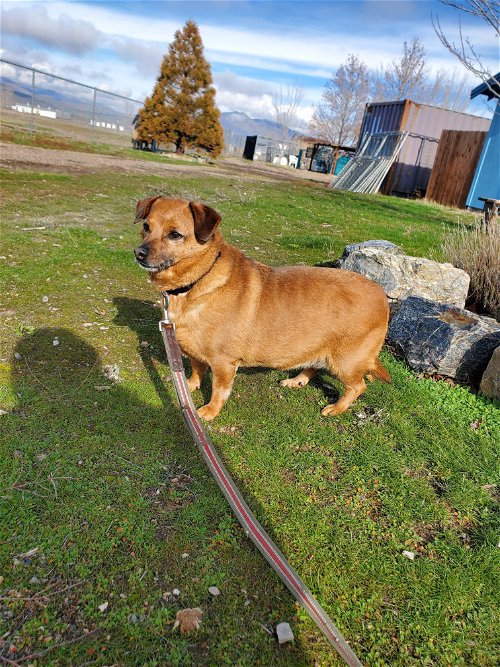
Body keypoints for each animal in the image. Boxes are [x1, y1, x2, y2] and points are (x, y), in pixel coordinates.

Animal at [135, 196, 392, 420]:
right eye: (146, 227)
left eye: (175, 235)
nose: (138, 253)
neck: (197, 282)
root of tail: (381, 294)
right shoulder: (194, 351)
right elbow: (197, 370)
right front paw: (188, 386)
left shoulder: (224, 363)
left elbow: (219, 390)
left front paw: (210, 410)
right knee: (314, 367)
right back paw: (297, 380)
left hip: (346, 362)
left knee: (358, 386)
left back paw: (337, 408)